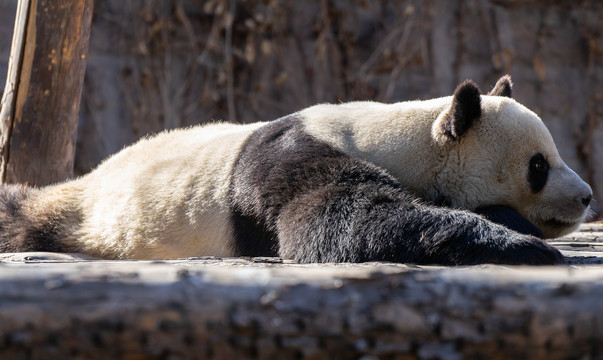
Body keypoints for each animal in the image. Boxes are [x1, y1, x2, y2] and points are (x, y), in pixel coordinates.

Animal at [0, 75, 596, 264]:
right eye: (539, 166)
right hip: (81, 211)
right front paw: (525, 247)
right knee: (24, 213)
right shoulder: (291, 159)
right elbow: (339, 217)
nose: (587, 196)